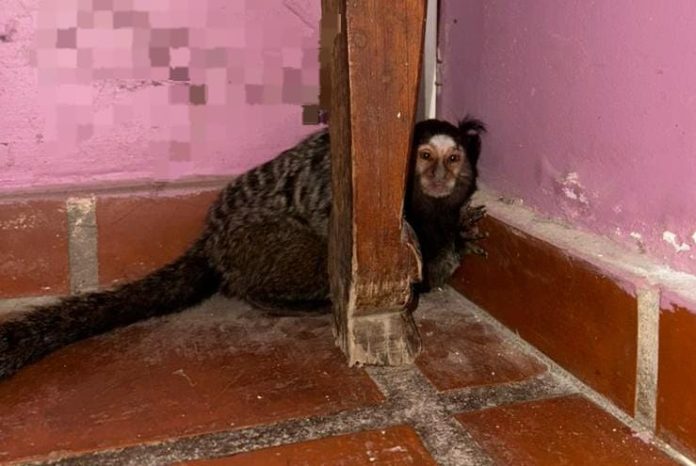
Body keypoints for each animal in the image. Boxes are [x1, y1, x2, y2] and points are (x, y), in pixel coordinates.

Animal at [0, 117, 486, 379]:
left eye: (453, 158)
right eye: (424, 157)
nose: (439, 176)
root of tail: (212, 240)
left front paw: (463, 231)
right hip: (260, 245)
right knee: (315, 260)